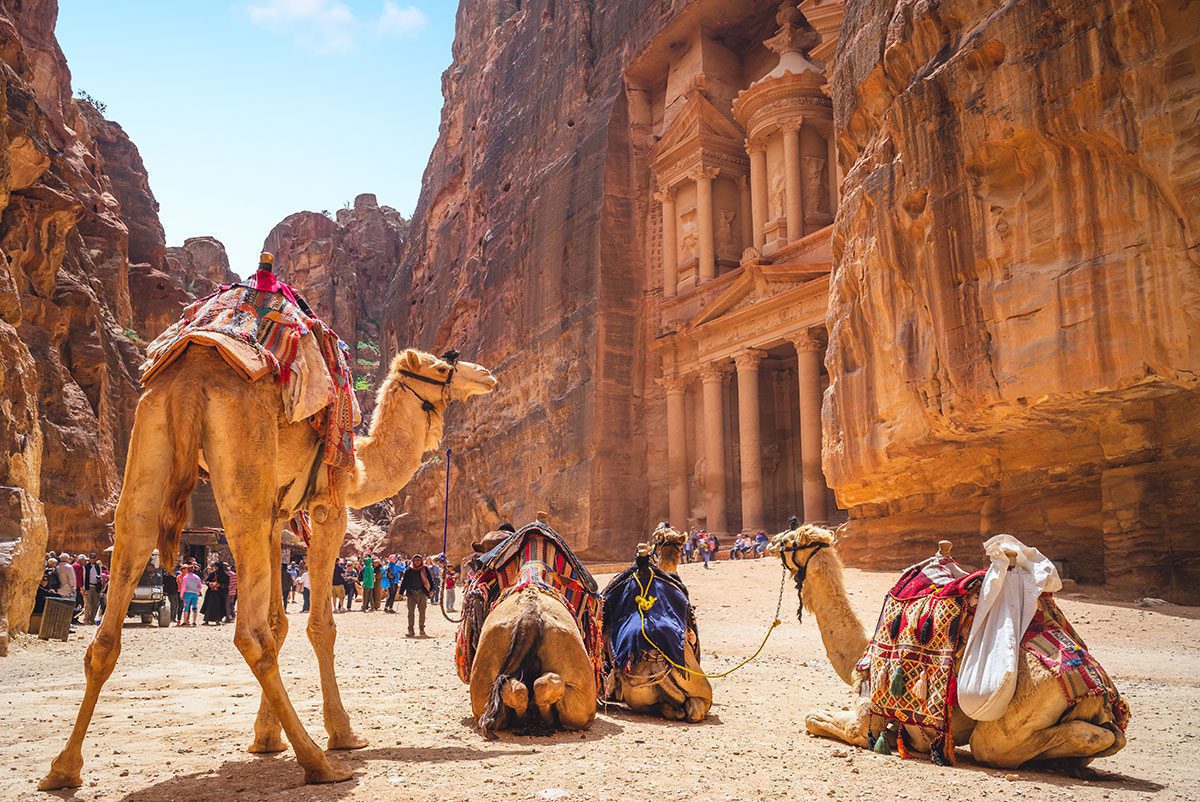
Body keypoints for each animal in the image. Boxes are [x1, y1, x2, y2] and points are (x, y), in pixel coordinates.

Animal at [40, 345, 496, 790]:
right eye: (442, 367)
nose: (487, 375)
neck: (362, 468)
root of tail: (190, 383)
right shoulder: (328, 507)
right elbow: (318, 627)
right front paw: (342, 734)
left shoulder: (279, 519)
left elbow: (279, 623)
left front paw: (266, 737)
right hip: (244, 469)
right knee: (249, 634)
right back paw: (319, 764)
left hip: (149, 441)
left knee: (115, 604)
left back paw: (62, 769)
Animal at [769, 524, 1128, 772]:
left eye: (790, 540)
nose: (770, 542)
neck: (861, 652)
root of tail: (1097, 690)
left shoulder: (867, 712)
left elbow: (815, 718)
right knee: (1112, 736)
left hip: (1019, 713)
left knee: (993, 747)